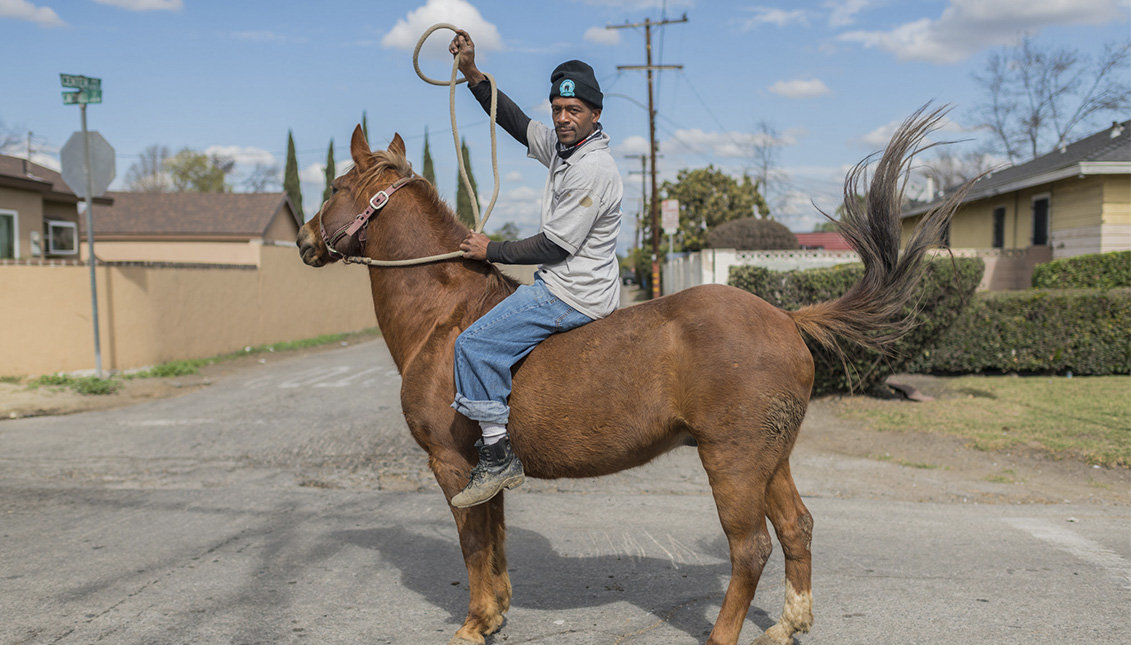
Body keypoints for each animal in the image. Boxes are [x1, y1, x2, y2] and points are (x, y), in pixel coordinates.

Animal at [296, 108, 968, 638]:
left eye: (335, 183)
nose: (304, 239)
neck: (446, 318)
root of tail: (784, 316)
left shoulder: (452, 464)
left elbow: (473, 542)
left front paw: (474, 622)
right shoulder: (485, 470)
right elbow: (497, 537)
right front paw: (497, 612)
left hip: (733, 460)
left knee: (750, 548)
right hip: (771, 457)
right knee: (796, 529)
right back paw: (787, 625)